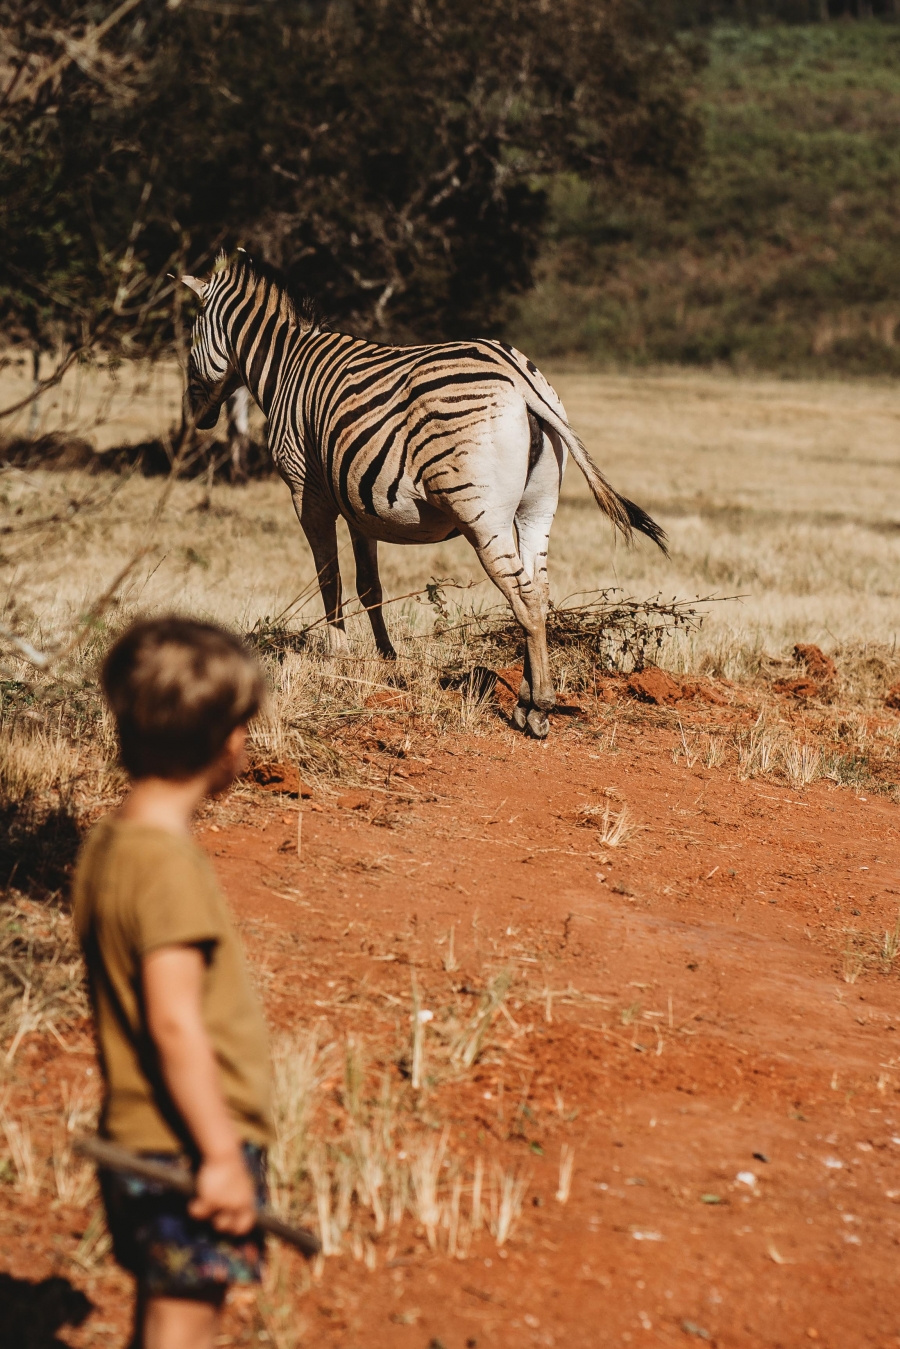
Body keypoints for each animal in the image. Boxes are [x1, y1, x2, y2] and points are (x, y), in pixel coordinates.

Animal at [180, 253, 669, 739]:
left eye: (189, 346)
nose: (196, 418)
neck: (285, 366)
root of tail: (517, 374)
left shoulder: (308, 492)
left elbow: (328, 578)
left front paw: (337, 656)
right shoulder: (357, 503)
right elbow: (369, 585)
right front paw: (385, 658)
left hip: (481, 513)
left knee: (525, 598)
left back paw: (539, 707)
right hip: (538, 507)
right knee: (540, 590)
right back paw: (526, 700)